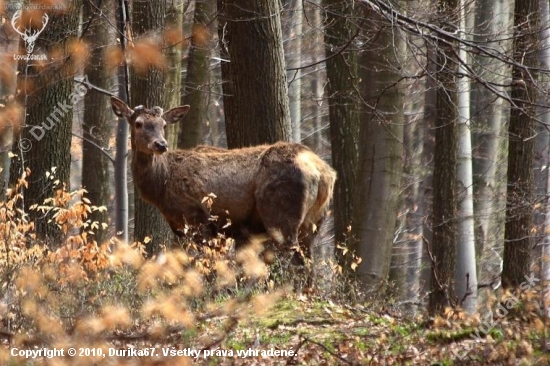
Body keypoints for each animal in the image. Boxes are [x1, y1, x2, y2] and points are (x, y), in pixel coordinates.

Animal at [110, 97, 338, 264]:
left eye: (163, 124)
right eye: (138, 123)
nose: (161, 144)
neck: (162, 186)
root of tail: (322, 172)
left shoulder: (197, 218)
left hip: (281, 213)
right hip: (314, 221)